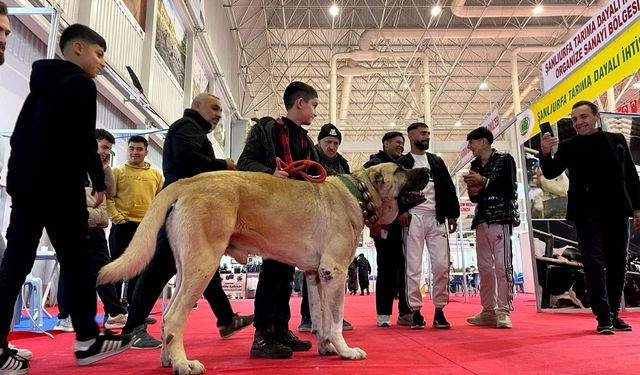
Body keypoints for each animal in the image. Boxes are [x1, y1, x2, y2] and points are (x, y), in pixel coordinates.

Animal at [100, 163, 428, 374]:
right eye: (400, 169)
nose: (426, 169)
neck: (358, 192)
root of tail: (190, 181)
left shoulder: (315, 276)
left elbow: (320, 318)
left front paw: (326, 347)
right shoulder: (334, 272)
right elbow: (335, 319)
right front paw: (346, 351)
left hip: (186, 268)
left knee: (169, 313)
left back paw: (169, 360)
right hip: (203, 264)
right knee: (172, 317)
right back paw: (183, 364)